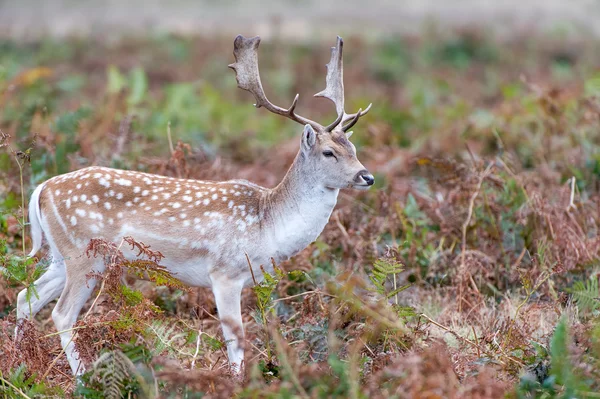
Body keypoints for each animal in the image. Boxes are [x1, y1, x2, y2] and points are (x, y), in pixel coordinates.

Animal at [16, 35, 372, 378]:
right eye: (328, 152)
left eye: (354, 148)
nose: (366, 176)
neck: (267, 224)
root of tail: (42, 189)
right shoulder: (225, 272)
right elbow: (235, 338)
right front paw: (238, 382)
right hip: (85, 253)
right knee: (62, 314)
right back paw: (82, 378)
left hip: (62, 254)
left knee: (25, 297)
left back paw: (21, 365)